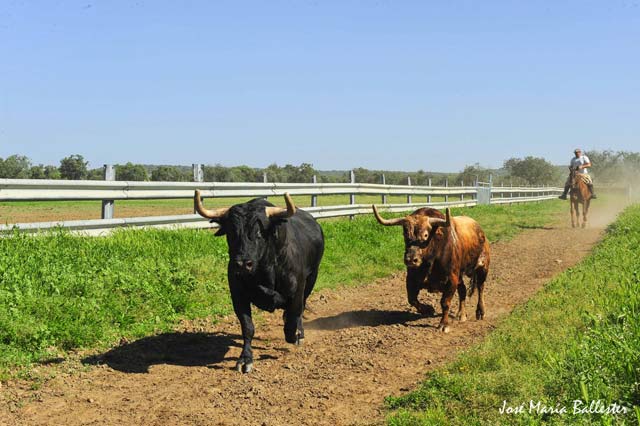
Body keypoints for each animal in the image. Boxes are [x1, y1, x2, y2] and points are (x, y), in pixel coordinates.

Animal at [194, 191, 324, 372]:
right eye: (231, 232)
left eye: (259, 233)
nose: (242, 264)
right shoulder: (238, 295)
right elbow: (248, 327)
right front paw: (245, 359)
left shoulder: (297, 291)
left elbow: (293, 318)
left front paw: (295, 334)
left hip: (312, 278)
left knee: (300, 310)